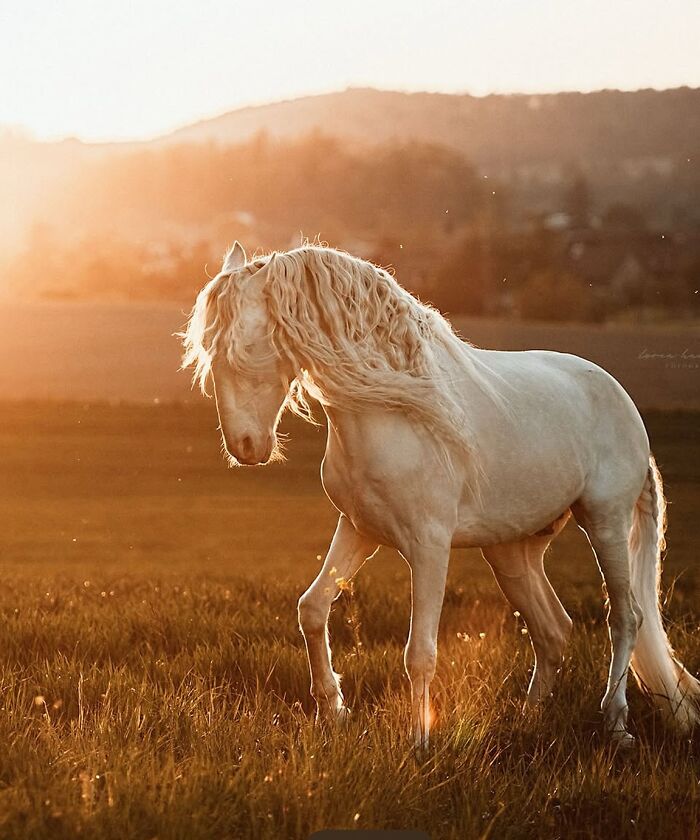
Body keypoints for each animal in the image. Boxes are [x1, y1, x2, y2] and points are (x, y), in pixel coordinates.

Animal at [182, 241, 700, 751]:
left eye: (245, 346)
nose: (246, 447)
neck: (390, 411)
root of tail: (624, 402)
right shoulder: (359, 530)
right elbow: (312, 609)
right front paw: (334, 711)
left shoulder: (429, 546)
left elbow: (420, 652)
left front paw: (420, 744)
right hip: (512, 552)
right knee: (554, 629)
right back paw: (528, 720)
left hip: (605, 521)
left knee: (626, 617)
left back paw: (616, 725)